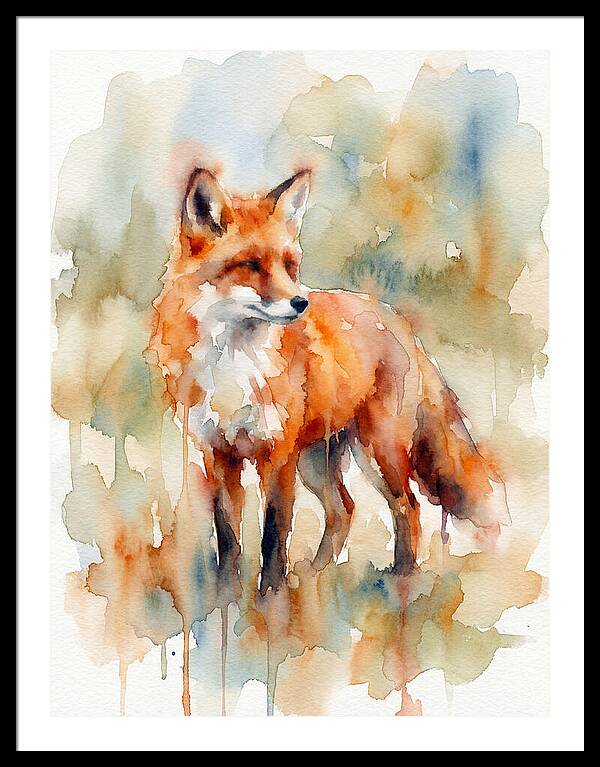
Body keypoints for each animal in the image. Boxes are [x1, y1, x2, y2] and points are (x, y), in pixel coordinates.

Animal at [147, 167, 509, 596]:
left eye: (290, 266)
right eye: (250, 264)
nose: (300, 303)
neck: (234, 364)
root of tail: (396, 320)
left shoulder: (278, 454)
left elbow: (273, 534)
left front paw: (270, 600)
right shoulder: (219, 453)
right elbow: (228, 538)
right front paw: (226, 599)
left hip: (378, 450)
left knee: (408, 506)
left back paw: (401, 581)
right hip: (318, 461)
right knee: (344, 509)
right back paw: (315, 574)